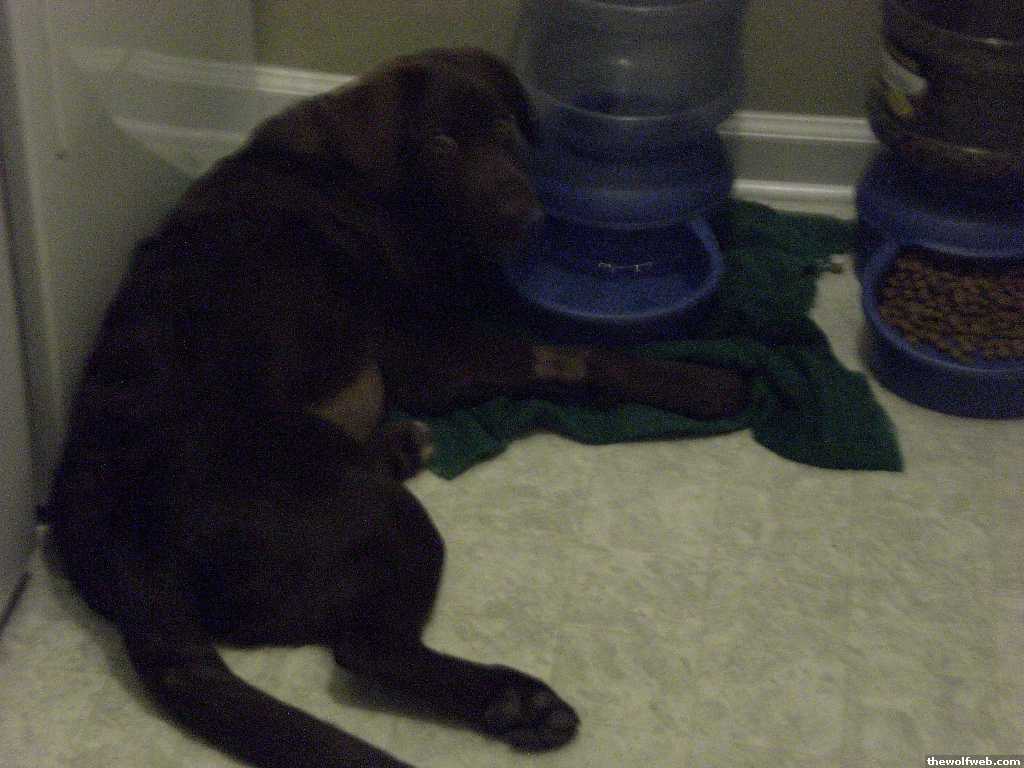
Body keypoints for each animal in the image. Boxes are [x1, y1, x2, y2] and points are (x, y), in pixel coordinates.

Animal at [46, 48, 747, 768]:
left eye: (503, 127)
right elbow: (569, 353)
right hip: (379, 516)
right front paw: (700, 379)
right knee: (367, 650)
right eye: (440, 144)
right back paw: (513, 700)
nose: (526, 215)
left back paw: (397, 448)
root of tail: (115, 543)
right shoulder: (426, 355)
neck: (369, 183)